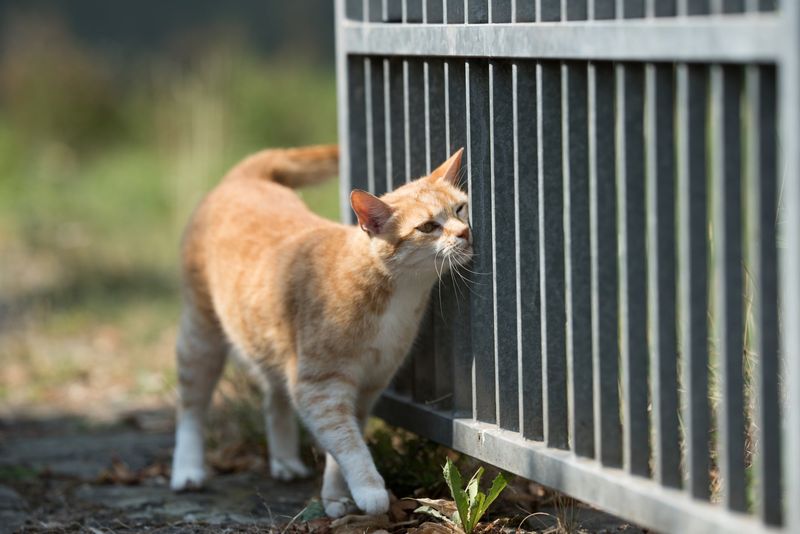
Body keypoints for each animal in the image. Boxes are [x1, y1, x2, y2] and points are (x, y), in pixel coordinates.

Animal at [168, 146, 468, 520]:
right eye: (428, 226)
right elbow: (347, 442)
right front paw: (369, 490)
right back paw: (187, 470)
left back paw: (284, 460)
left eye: (460, 209)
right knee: (192, 406)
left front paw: (337, 495)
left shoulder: (368, 385)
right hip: (201, 334)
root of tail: (247, 176)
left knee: (274, 396)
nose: (465, 233)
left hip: (272, 341)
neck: (398, 292)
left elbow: (344, 442)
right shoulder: (320, 386)